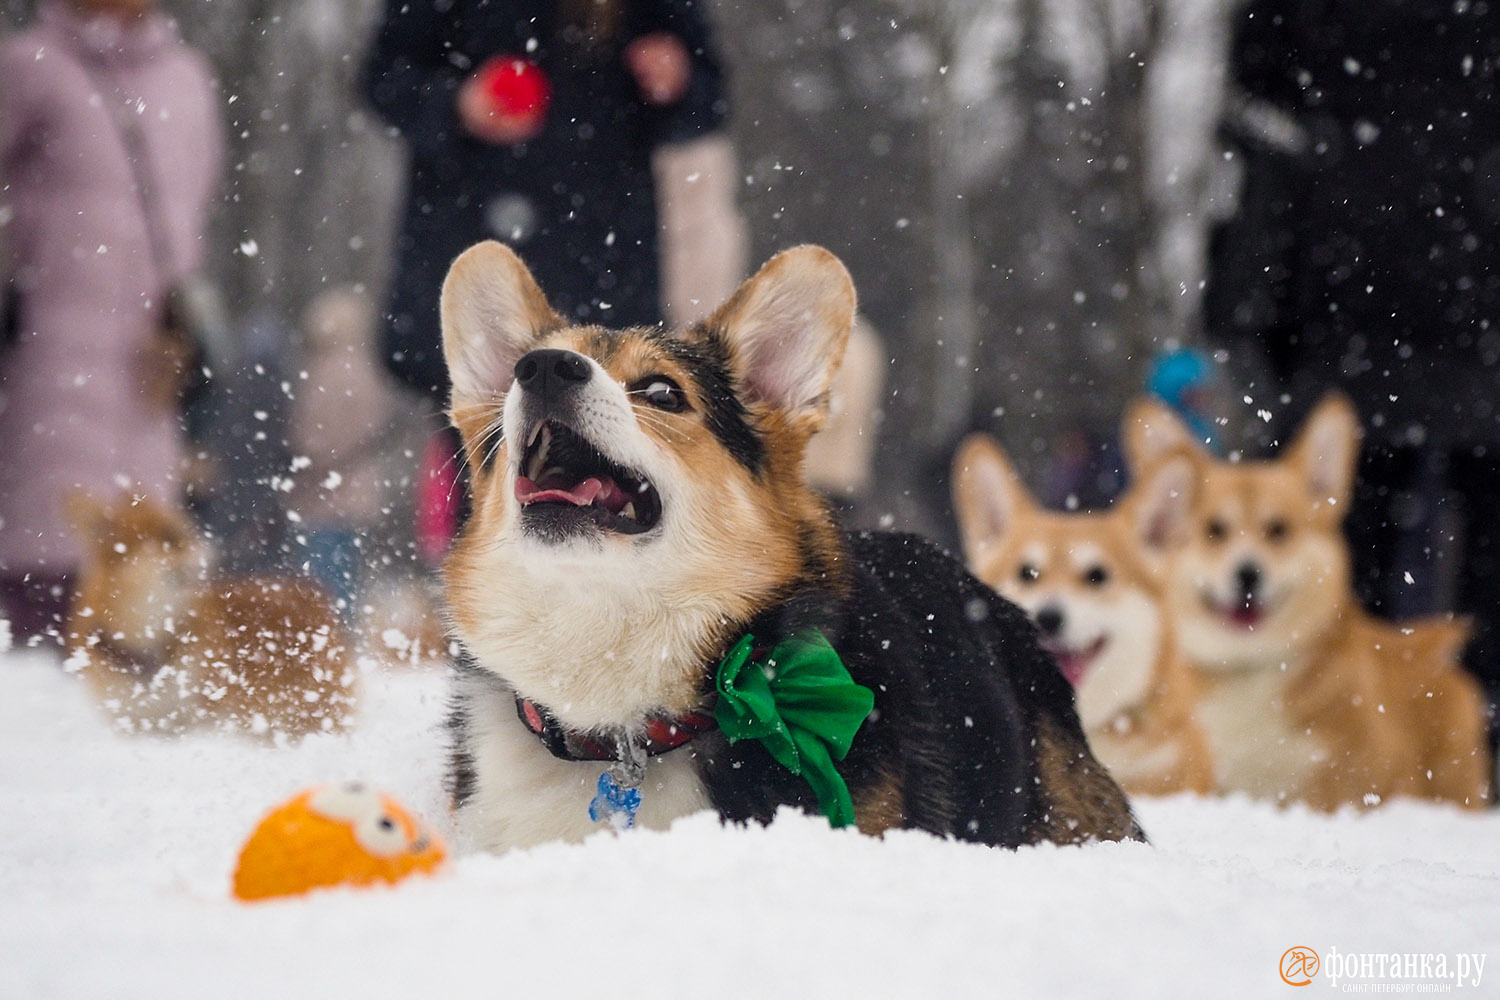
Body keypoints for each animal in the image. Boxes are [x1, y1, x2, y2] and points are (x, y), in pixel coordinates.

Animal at [66, 494, 358, 740]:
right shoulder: (133, 721)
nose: (212, 548)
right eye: (171, 537)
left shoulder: (200, 711)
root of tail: (312, 590)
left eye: (187, 529)